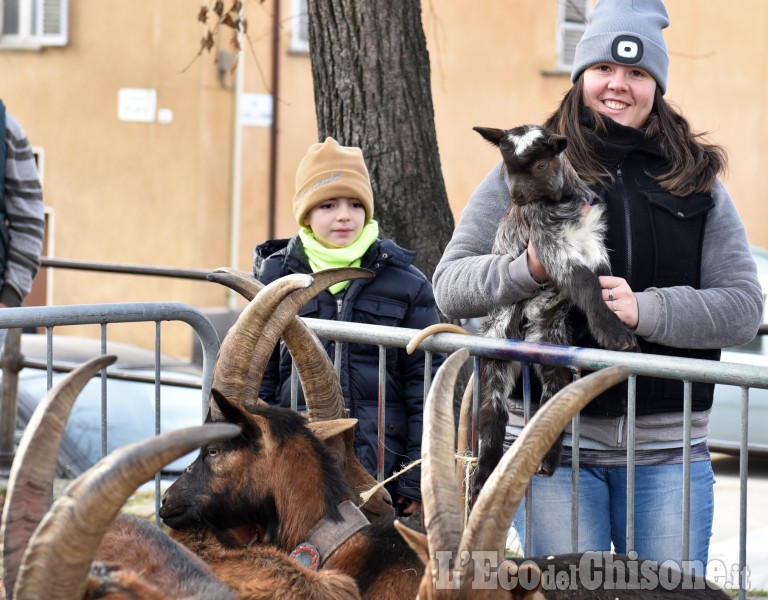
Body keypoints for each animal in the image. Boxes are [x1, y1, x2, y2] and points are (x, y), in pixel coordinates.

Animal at [474, 124, 636, 490]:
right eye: (507, 166)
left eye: (540, 165)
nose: (517, 198)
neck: (562, 202)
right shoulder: (550, 248)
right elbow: (586, 283)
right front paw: (616, 334)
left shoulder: (592, 243)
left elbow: (601, 281)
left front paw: (613, 323)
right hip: (496, 347)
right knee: (493, 411)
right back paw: (483, 475)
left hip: (553, 348)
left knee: (553, 404)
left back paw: (546, 462)